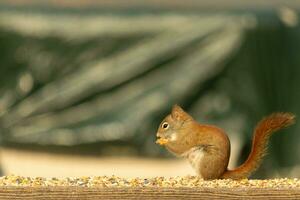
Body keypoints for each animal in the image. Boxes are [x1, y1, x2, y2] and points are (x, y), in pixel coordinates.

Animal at [157, 104, 296, 180]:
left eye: (165, 125)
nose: (157, 135)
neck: (183, 127)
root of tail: (222, 172)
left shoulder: (189, 138)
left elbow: (178, 148)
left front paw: (162, 141)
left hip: (205, 159)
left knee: (208, 178)